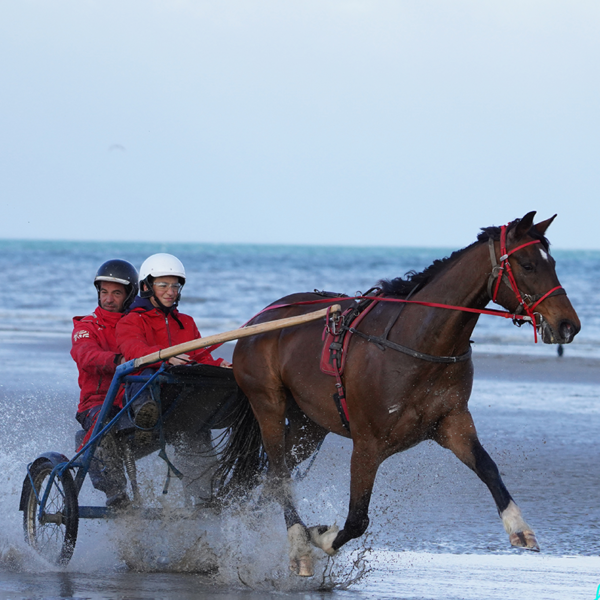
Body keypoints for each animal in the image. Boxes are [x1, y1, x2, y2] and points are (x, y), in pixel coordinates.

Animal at [223, 212, 580, 576]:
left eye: (552, 263)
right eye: (528, 265)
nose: (569, 325)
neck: (418, 343)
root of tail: (259, 321)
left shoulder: (452, 423)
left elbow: (488, 468)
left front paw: (519, 527)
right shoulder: (367, 445)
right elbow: (356, 520)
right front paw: (321, 537)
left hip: (309, 425)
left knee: (270, 478)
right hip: (268, 402)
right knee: (280, 473)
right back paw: (298, 545)